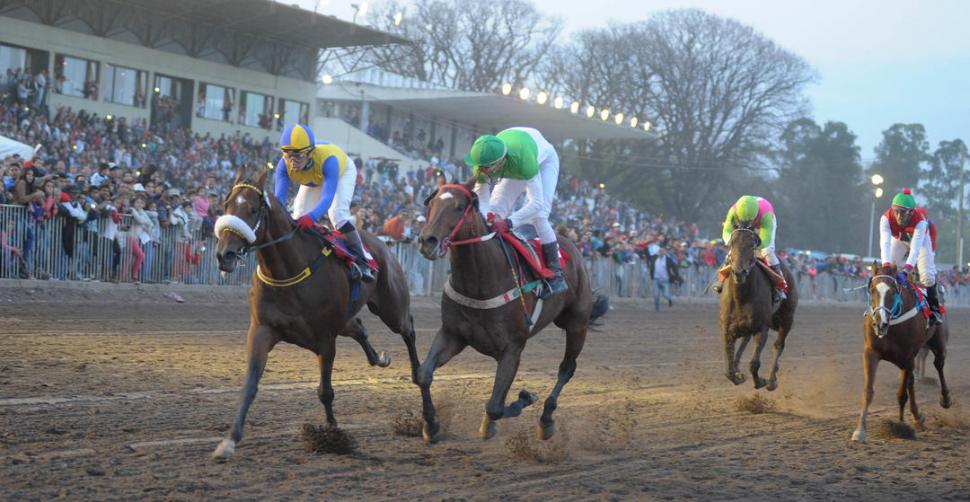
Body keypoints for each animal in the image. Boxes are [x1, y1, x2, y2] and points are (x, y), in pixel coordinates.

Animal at [208, 169, 420, 458]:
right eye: (226, 205)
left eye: (252, 209)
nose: (224, 255)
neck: (287, 271)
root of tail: (382, 242)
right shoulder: (262, 329)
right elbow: (250, 385)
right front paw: (229, 441)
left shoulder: (325, 339)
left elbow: (325, 392)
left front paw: (333, 436)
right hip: (347, 318)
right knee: (359, 326)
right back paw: (379, 358)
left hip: (391, 308)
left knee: (408, 329)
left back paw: (420, 378)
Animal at [410, 181, 588, 444]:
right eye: (430, 203)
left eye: (459, 207)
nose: (427, 241)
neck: (479, 281)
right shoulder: (452, 334)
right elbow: (423, 374)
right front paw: (431, 424)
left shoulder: (513, 347)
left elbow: (495, 405)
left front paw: (525, 398)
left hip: (577, 324)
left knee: (566, 369)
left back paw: (546, 420)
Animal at [720, 226, 796, 388]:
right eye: (732, 244)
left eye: (752, 246)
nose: (739, 272)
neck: (741, 298)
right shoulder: (727, 330)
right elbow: (728, 370)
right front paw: (738, 375)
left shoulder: (762, 329)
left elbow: (754, 363)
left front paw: (761, 381)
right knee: (745, 339)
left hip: (787, 318)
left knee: (779, 345)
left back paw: (772, 380)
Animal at [852, 262, 948, 444]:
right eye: (872, 289)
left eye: (893, 291)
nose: (879, 322)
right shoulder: (871, 353)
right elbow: (868, 392)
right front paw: (860, 431)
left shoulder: (909, 356)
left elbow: (901, 394)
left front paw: (900, 426)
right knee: (911, 381)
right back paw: (917, 416)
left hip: (937, 343)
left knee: (939, 365)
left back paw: (945, 399)